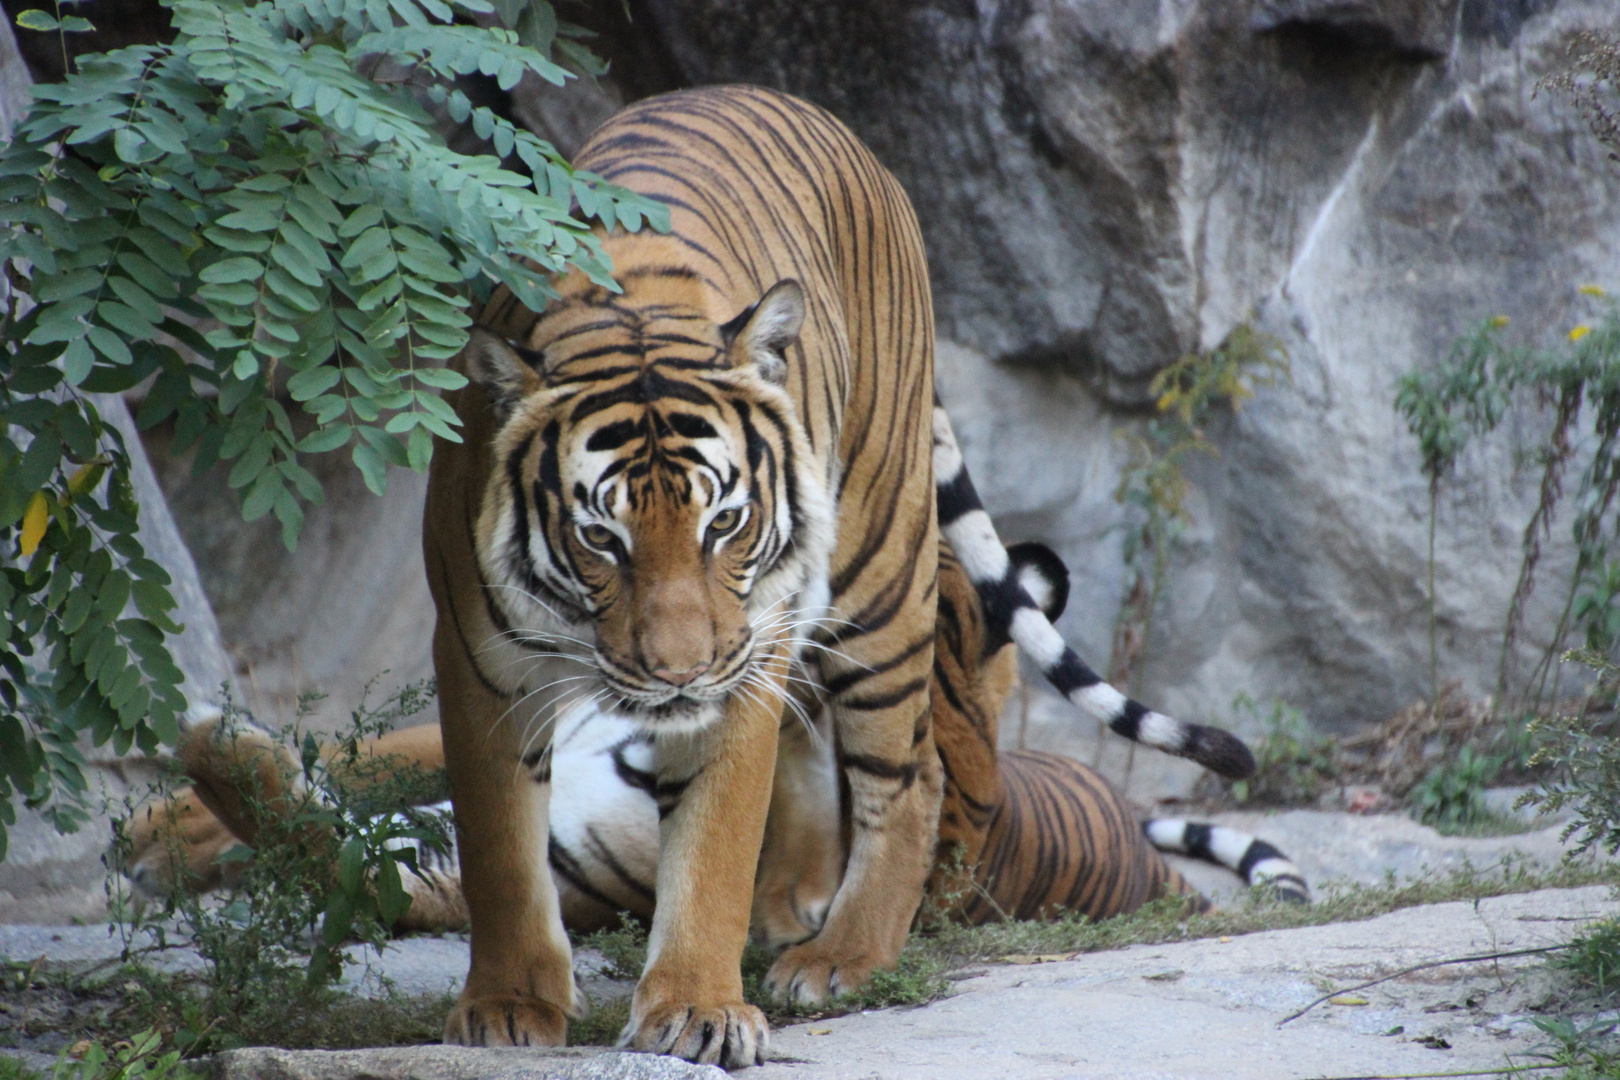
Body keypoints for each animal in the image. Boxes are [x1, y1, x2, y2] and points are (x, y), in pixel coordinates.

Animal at [154, 84, 1289, 1062]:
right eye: (600, 540)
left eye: (726, 524)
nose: (677, 675)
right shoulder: (480, 659)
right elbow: (491, 846)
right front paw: (510, 1006)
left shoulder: (748, 653)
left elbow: (711, 846)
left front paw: (696, 1009)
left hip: (879, 575)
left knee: (910, 773)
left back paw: (841, 955)